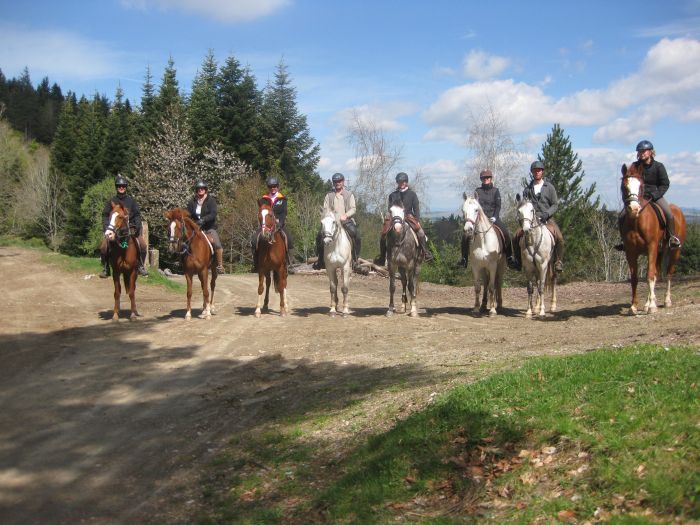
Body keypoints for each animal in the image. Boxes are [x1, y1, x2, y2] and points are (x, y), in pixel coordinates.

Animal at [620, 162, 688, 314]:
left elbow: (649, 275)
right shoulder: (630, 252)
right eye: (624, 186)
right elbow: (635, 278)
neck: (636, 221)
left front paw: (652, 307)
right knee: (657, 273)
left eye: (641, 186)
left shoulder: (651, 247)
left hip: (675, 251)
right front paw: (634, 306)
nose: (634, 209)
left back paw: (666, 301)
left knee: (668, 273)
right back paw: (648, 303)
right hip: (660, 252)